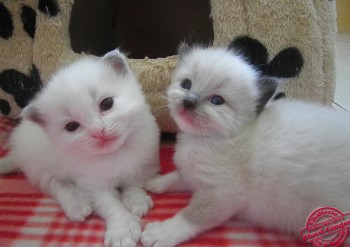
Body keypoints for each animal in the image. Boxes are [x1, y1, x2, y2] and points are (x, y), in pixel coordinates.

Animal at [1, 49, 160, 247]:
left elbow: (134, 182)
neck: (116, 154)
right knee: (54, 184)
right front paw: (122, 229)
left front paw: (136, 199)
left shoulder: (143, 163)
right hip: (38, 166)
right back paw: (76, 204)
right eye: (71, 126)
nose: (98, 131)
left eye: (107, 103)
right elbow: (110, 205)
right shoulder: (91, 184)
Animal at [141, 46, 350, 247]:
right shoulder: (192, 174)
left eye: (217, 101)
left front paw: (160, 233)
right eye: (186, 84)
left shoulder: (220, 193)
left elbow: (191, 216)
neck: (204, 140)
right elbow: (176, 176)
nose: (188, 100)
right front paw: (153, 182)